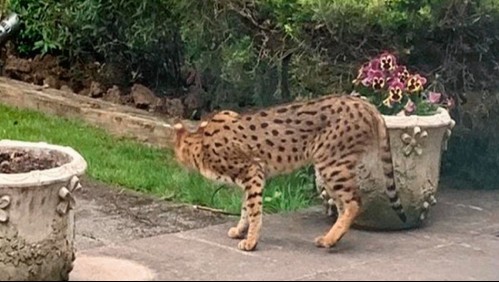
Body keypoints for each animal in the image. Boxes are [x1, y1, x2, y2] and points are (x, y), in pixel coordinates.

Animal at [172, 94, 406, 251]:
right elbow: (245, 208)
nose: (178, 163)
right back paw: (332, 238)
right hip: (330, 168)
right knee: (343, 204)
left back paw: (330, 239)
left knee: (353, 203)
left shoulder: (253, 172)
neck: (200, 141)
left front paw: (250, 241)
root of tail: (363, 102)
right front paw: (240, 230)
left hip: (330, 164)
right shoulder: (250, 178)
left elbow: (254, 211)